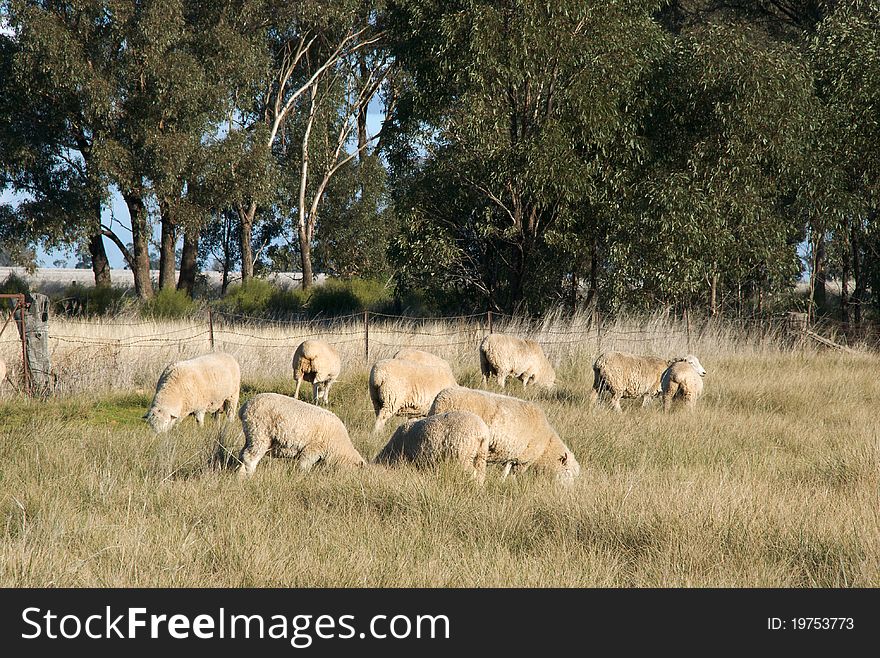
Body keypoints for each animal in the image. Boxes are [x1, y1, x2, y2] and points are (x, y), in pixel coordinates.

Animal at [235, 392, 366, 474]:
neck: (338, 445)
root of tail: (244, 407)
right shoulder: (313, 449)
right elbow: (304, 464)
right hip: (260, 432)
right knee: (250, 457)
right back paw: (250, 476)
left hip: (250, 435)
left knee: (243, 454)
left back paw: (239, 475)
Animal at [426, 384, 576, 482]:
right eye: (567, 472)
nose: (569, 495)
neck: (546, 446)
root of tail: (441, 399)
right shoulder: (524, 461)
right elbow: (515, 475)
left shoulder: (512, 455)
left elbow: (506, 470)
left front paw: (502, 481)